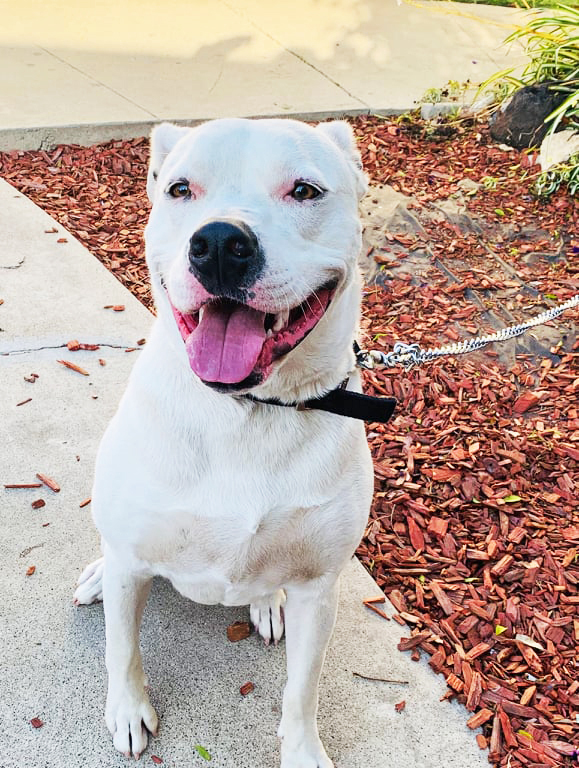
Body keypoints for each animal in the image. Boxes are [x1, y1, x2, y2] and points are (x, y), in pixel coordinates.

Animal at [75, 115, 376, 768]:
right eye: (181, 189)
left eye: (306, 191)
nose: (217, 244)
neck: (249, 410)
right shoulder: (133, 561)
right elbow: (122, 647)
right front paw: (128, 711)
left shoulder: (320, 588)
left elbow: (303, 689)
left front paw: (303, 749)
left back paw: (265, 601)